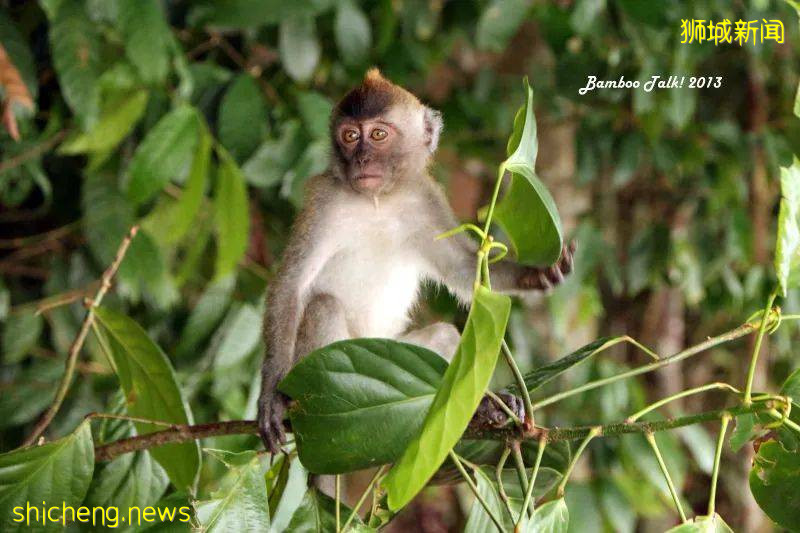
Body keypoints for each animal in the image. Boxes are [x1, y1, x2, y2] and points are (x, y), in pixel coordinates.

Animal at [260, 69, 572, 454]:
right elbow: (291, 283)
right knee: (323, 306)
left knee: (443, 336)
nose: (361, 159)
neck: (378, 201)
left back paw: (483, 408)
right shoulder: (323, 203)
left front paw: (534, 275)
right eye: (350, 136)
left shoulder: (425, 199)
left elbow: (461, 270)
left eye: (378, 135)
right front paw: (270, 399)